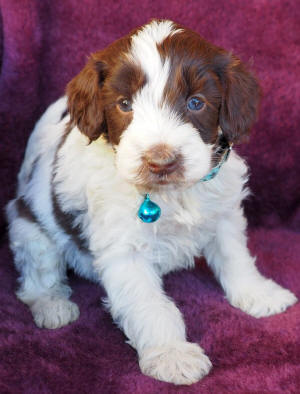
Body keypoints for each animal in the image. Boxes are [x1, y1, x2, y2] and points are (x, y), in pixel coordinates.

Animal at [5, 19, 296, 384]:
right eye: (124, 104)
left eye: (196, 103)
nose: (161, 161)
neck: (170, 193)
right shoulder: (124, 248)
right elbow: (150, 304)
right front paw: (171, 353)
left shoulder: (224, 213)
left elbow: (235, 257)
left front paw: (259, 293)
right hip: (29, 227)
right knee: (37, 275)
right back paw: (52, 304)